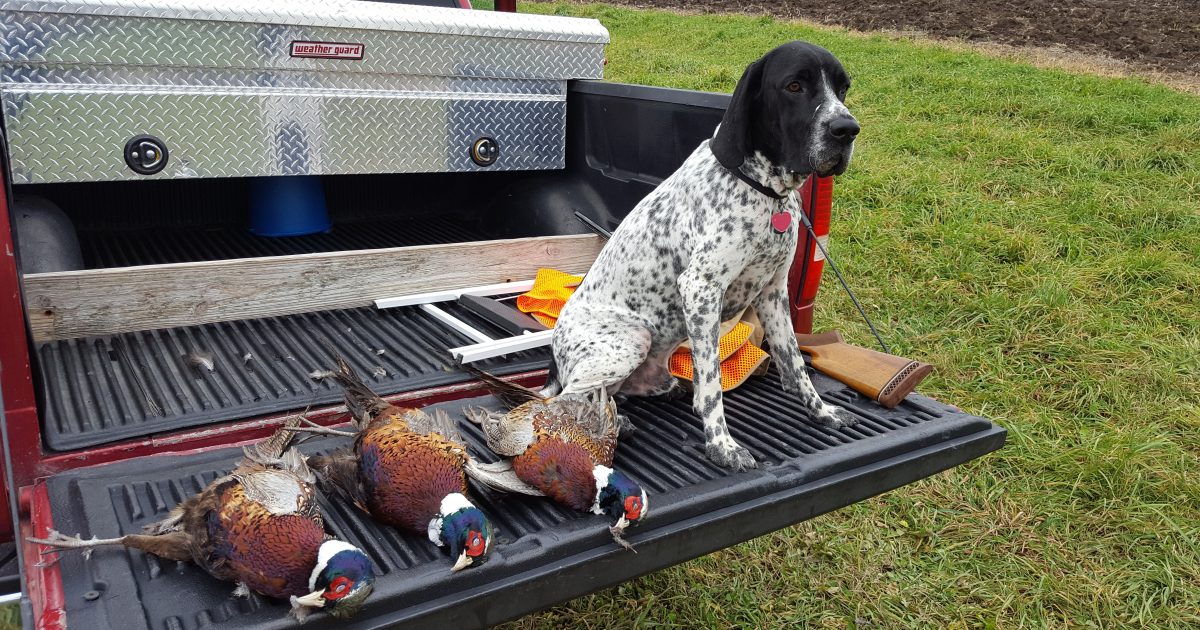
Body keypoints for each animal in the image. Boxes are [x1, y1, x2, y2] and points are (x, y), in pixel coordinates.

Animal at [547, 41, 864, 468]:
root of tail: (555, 357)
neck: (764, 191)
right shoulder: (701, 289)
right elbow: (712, 381)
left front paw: (823, 412)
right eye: (794, 86)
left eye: (843, 88)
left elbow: (795, 365)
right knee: (565, 401)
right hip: (631, 339)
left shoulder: (773, 292)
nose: (847, 129)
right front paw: (722, 445)